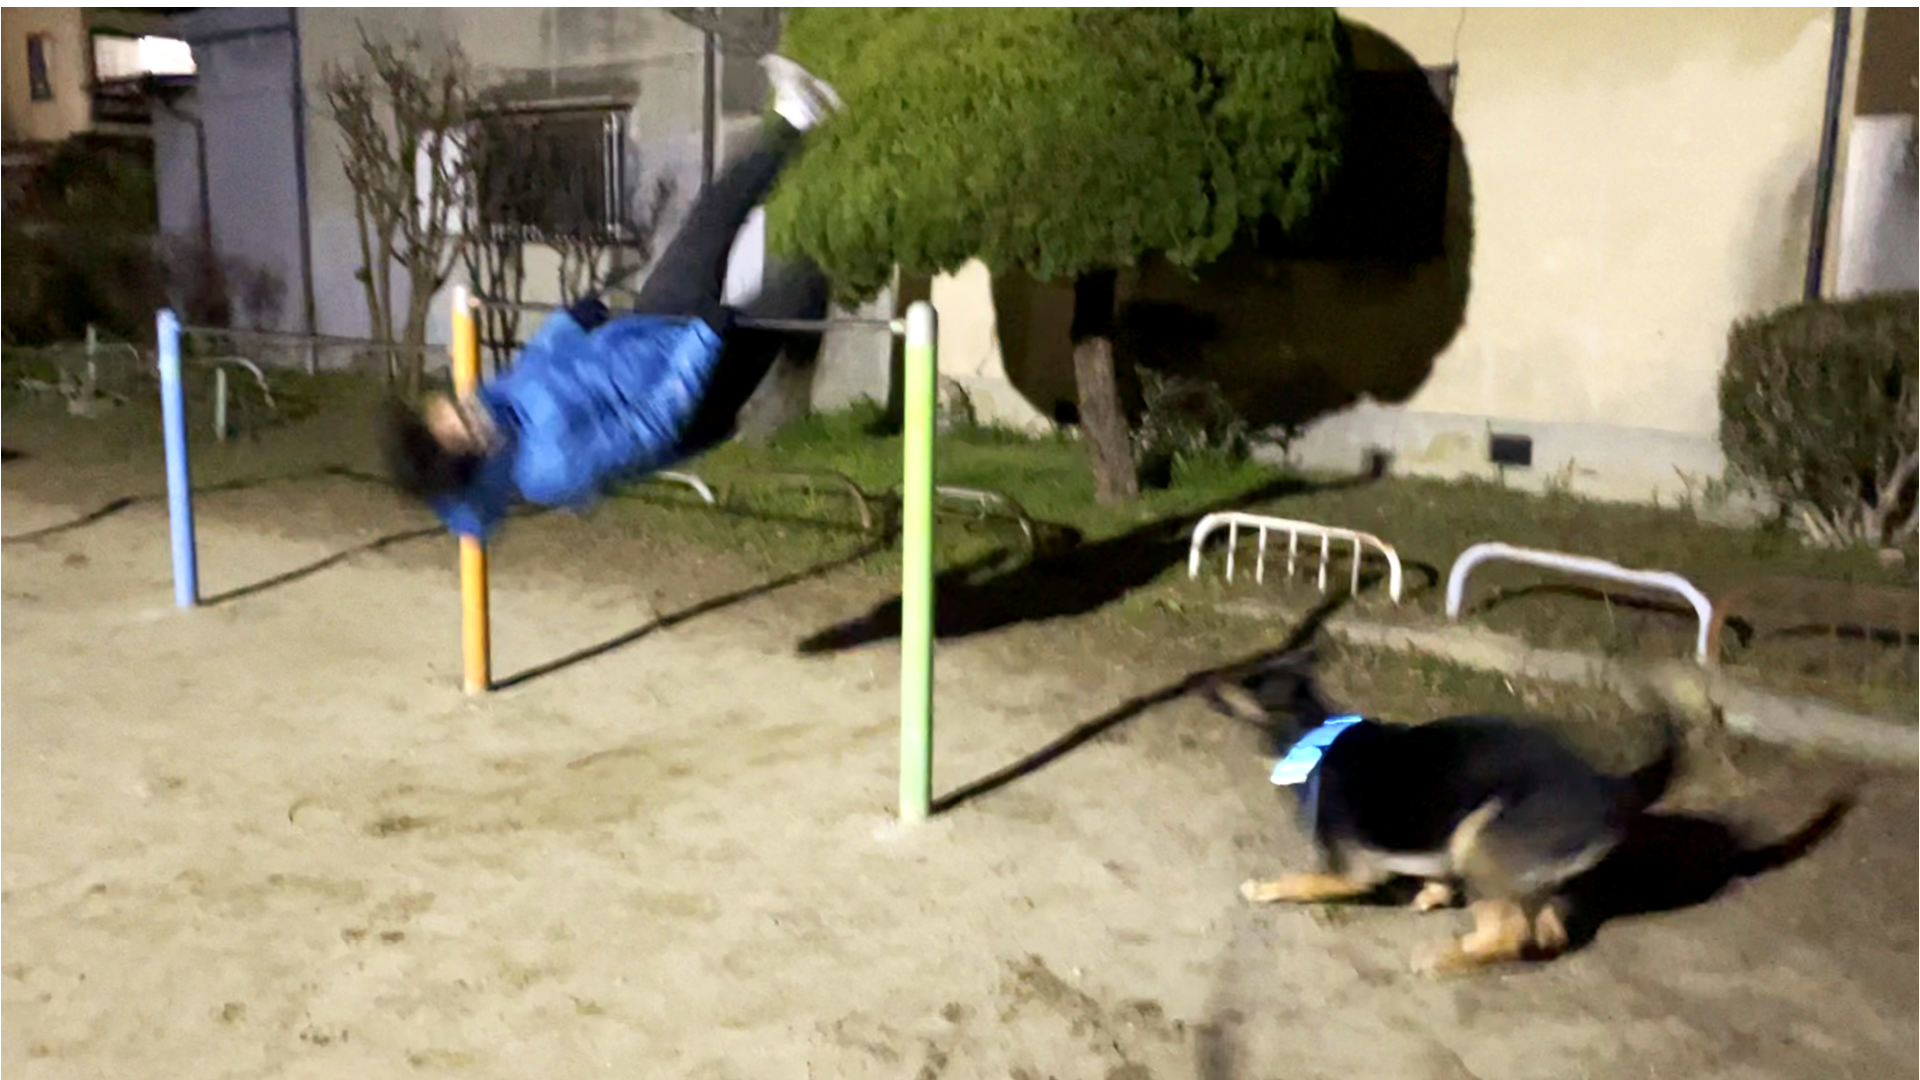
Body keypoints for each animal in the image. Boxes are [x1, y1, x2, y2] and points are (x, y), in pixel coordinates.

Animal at [1202, 648, 1679, 977]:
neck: (1314, 735)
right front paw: (1433, 894)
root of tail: (1612, 787)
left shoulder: (1353, 870)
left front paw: (1265, 888)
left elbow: (1301, 880)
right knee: (1544, 932)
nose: (1201, 677)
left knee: (1506, 934)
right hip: (1518, 869)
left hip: (1479, 838)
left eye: (1247, 680)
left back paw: (1446, 958)